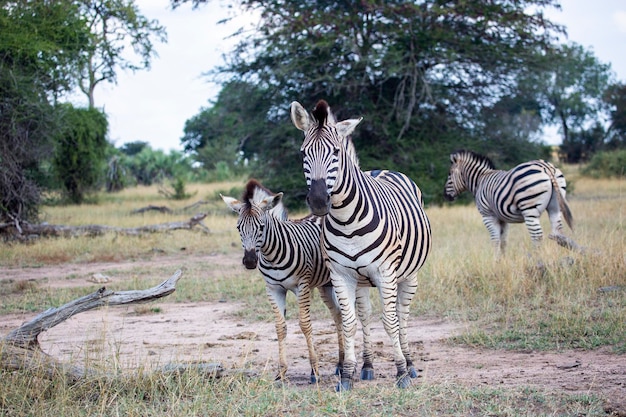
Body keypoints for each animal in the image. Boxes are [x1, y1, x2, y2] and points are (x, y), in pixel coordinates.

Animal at [221, 179, 372, 384]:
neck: (272, 255)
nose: (250, 261)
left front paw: (314, 371)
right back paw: (340, 365)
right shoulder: (273, 289)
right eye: (238, 228)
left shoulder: (302, 286)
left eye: (261, 227)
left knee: (361, 315)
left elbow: (305, 325)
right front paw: (281, 373)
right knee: (339, 316)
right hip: (326, 285)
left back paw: (364, 366)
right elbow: (280, 327)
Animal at [288, 100, 428, 390]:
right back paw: (368, 366)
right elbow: (350, 322)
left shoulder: (385, 272)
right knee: (365, 315)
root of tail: (381, 169)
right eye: (303, 153)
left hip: (409, 275)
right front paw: (347, 376)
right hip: (362, 280)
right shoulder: (341, 275)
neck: (347, 220)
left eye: (336, 153)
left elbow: (390, 321)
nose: (318, 201)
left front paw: (400, 373)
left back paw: (410, 365)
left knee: (402, 315)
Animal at [442, 148, 572, 255]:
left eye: (449, 174)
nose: (445, 196)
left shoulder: (487, 216)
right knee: (558, 233)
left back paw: (537, 260)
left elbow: (495, 240)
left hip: (529, 209)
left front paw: (495, 263)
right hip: (555, 206)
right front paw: (503, 262)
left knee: (537, 236)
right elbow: (503, 241)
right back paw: (559, 257)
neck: (480, 181)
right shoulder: (503, 218)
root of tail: (545, 166)